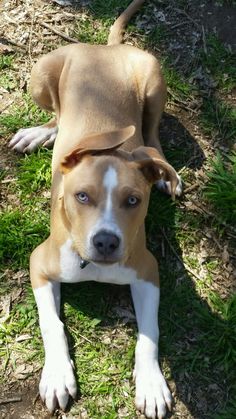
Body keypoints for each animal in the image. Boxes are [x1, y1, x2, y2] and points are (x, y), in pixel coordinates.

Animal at [8, 1, 183, 418]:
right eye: (82, 197)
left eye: (133, 200)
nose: (105, 242)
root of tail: (105, 48)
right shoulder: (39, 263)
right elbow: (51, 324)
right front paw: (57, 376)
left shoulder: (148, 270)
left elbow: (149, 332)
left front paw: (152, 384)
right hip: (41, 74)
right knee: (57, 117)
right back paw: (37, 134)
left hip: (154, 79)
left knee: (152, 135)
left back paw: (166, 174)